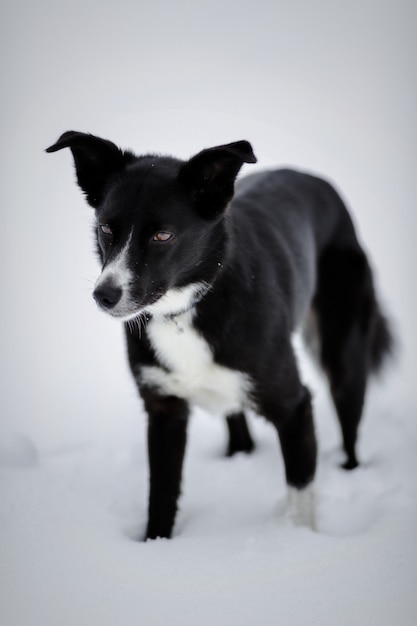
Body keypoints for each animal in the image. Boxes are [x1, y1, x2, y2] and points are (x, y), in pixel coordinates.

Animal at [47, 130, 392, 536]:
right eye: (105, 229)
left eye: (163, 235)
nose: (104, 295)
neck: (184, 310)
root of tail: (316, 180)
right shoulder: (163, 409)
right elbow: (161, 494)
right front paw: (156, 542)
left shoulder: (294, 406)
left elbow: (300, 496)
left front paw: (300, 540)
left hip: (343, 353)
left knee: (350, 425)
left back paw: (350, 468)